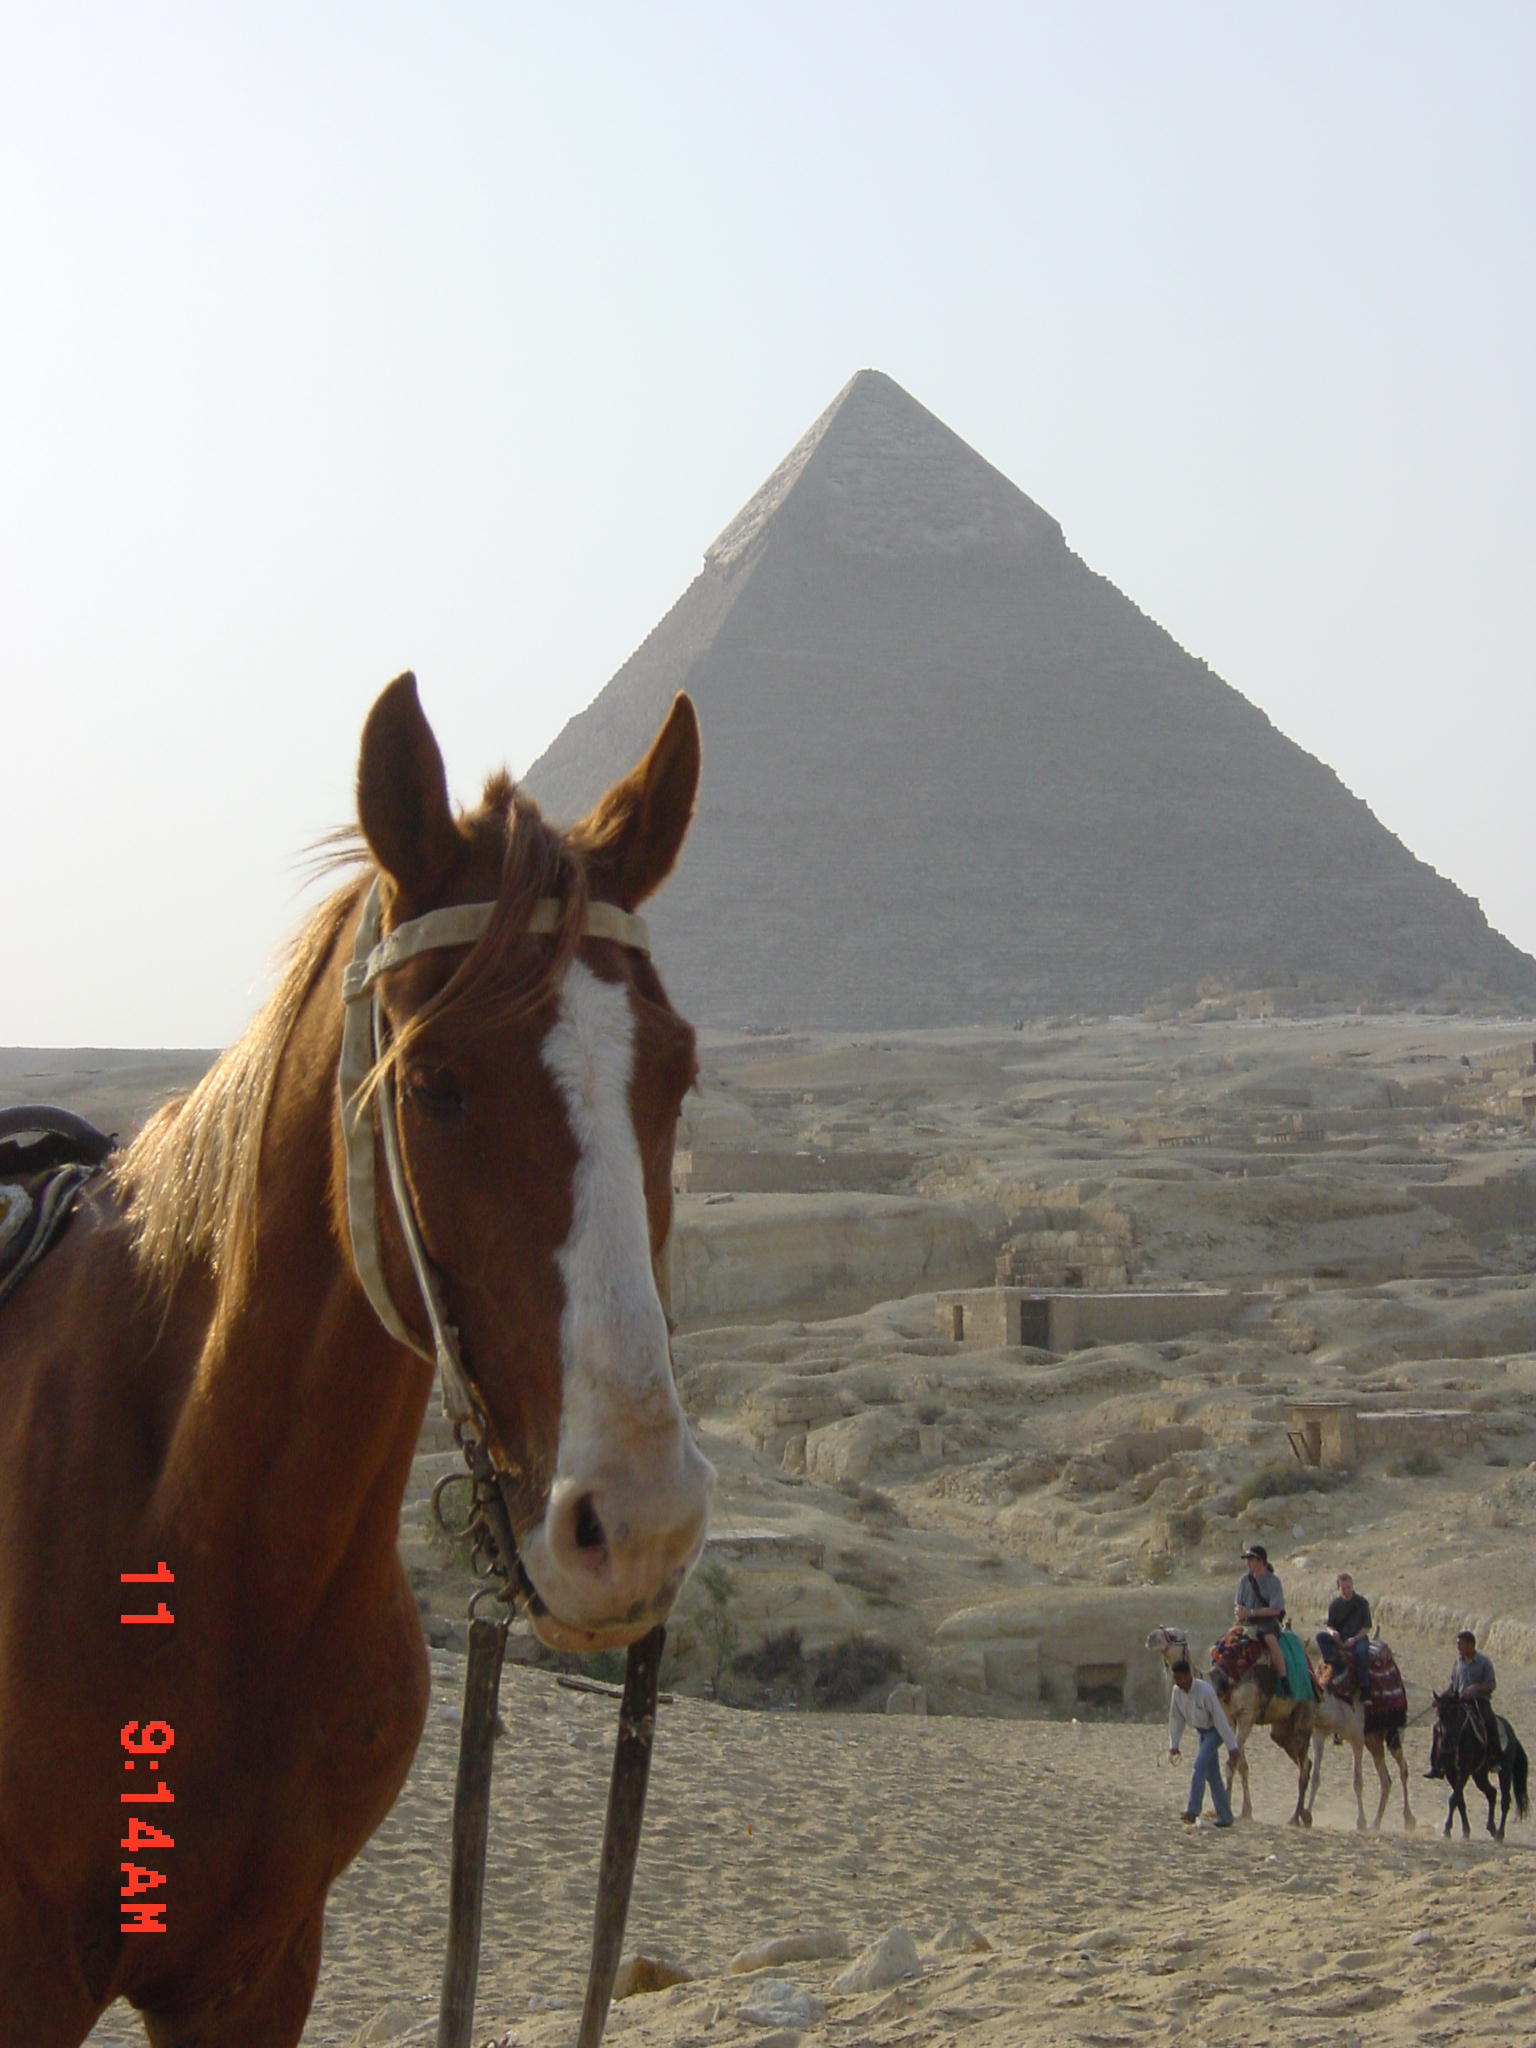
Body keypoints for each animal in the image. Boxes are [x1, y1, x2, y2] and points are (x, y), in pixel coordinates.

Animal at [1146, 1625, 1316, 1825]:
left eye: (1173, 1635)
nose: (1150, 1638)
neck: (1224, 1683)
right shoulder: (1228, 1717)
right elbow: (1242, 1765)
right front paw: (1245, 1811)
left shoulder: (1246, 1715)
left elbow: (1231, 1763)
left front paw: (1227, 1809)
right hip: (1282, 1727)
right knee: (1304, 1761)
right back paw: (1305, 1816)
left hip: (1304, 1714)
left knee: (1304, 1766)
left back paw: (1295, 1818)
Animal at [1430, 1696, 1531, 1841]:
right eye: (1440, 1714)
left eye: (1455, 1714)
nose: (1446, 1744)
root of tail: (1511, 1734)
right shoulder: (1451, 1773)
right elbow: (1459, 1800)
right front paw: (1465, 1831)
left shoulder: (1464, 1772)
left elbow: (1454, 1799)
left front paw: (1447, 1830)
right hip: (1479, 1775)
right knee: (1492, 1793)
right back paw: (1492, 1828)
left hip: (1504, 1772)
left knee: (1505, 1801)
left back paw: (1500, 1833)